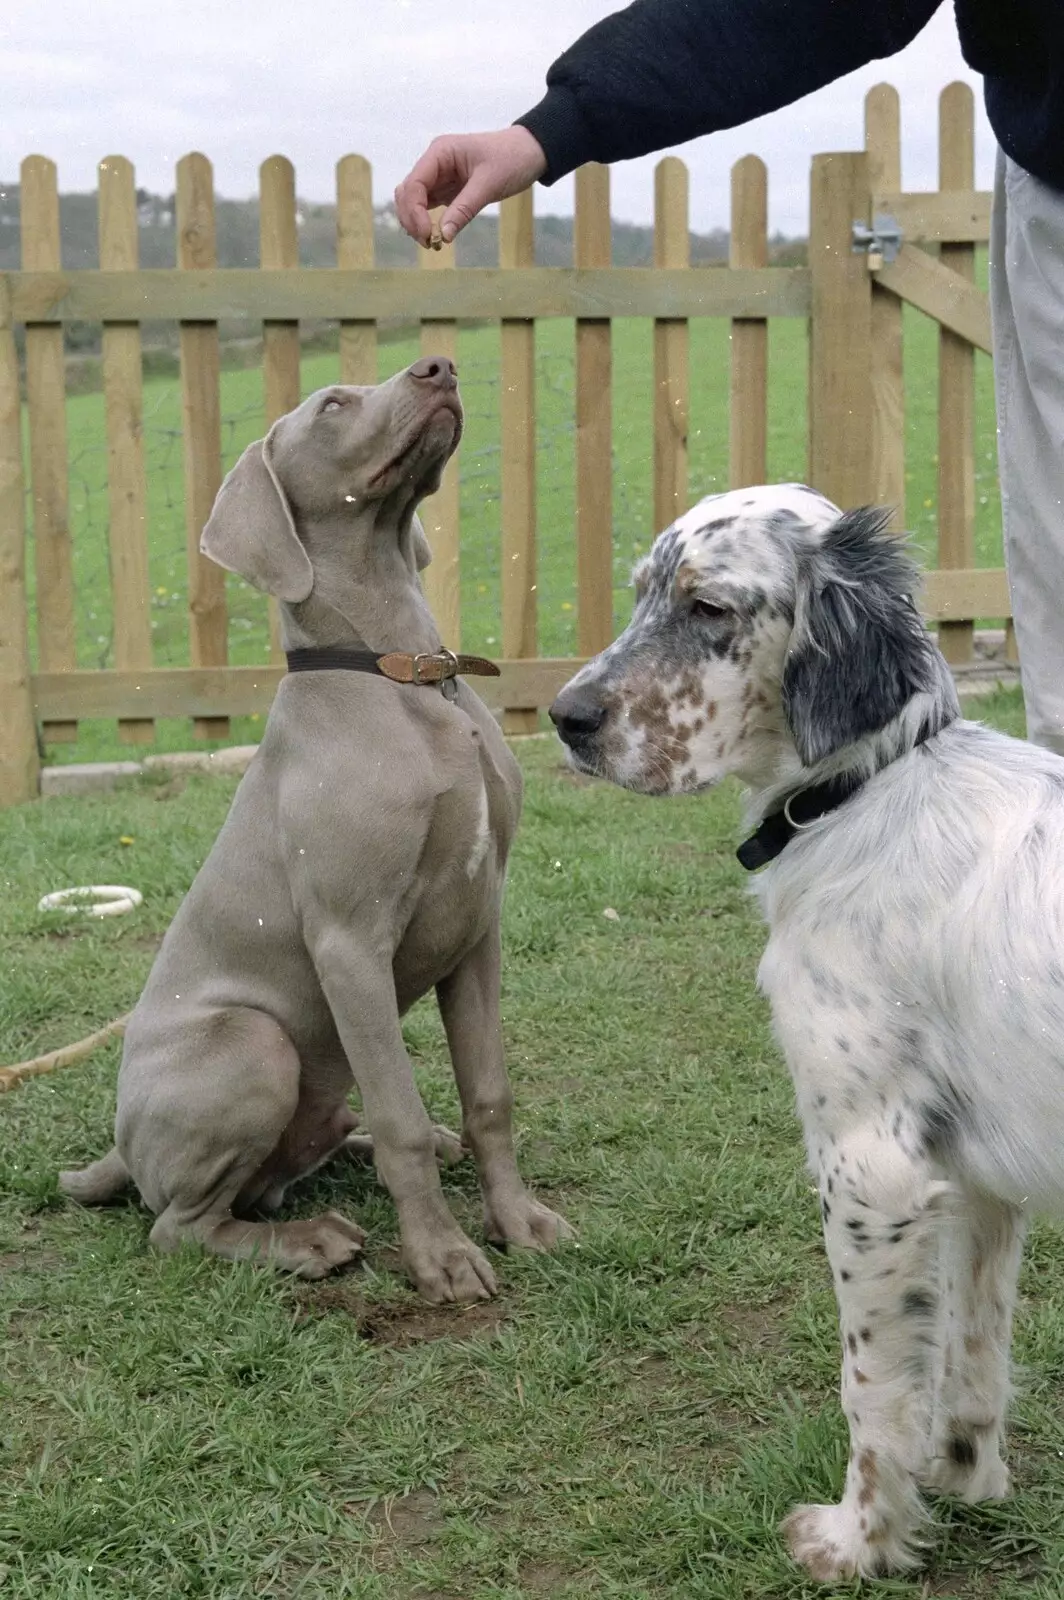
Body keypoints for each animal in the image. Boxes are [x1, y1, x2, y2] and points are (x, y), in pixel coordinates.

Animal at [61, 360, 569, 1299]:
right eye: (333, 404)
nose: (438, 365)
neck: (402, 674)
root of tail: (117, 1148)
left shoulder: (478, 924)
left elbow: (489, 1095)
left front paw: (517, 1221)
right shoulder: (349, 942)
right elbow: (401, 1115)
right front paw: (442, 1258)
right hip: (254, 1043)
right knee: (181, 1227)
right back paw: (308, 1243)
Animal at [547, 483, 1062, 1574]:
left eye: (706, 608)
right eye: (643, 591)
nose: (564, 718)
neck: (864, 793)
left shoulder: (870, 1166)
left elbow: (871, 1385)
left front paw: (858, 1541)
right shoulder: (979, 1177)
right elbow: (972, 1352)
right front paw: (963, 1475)